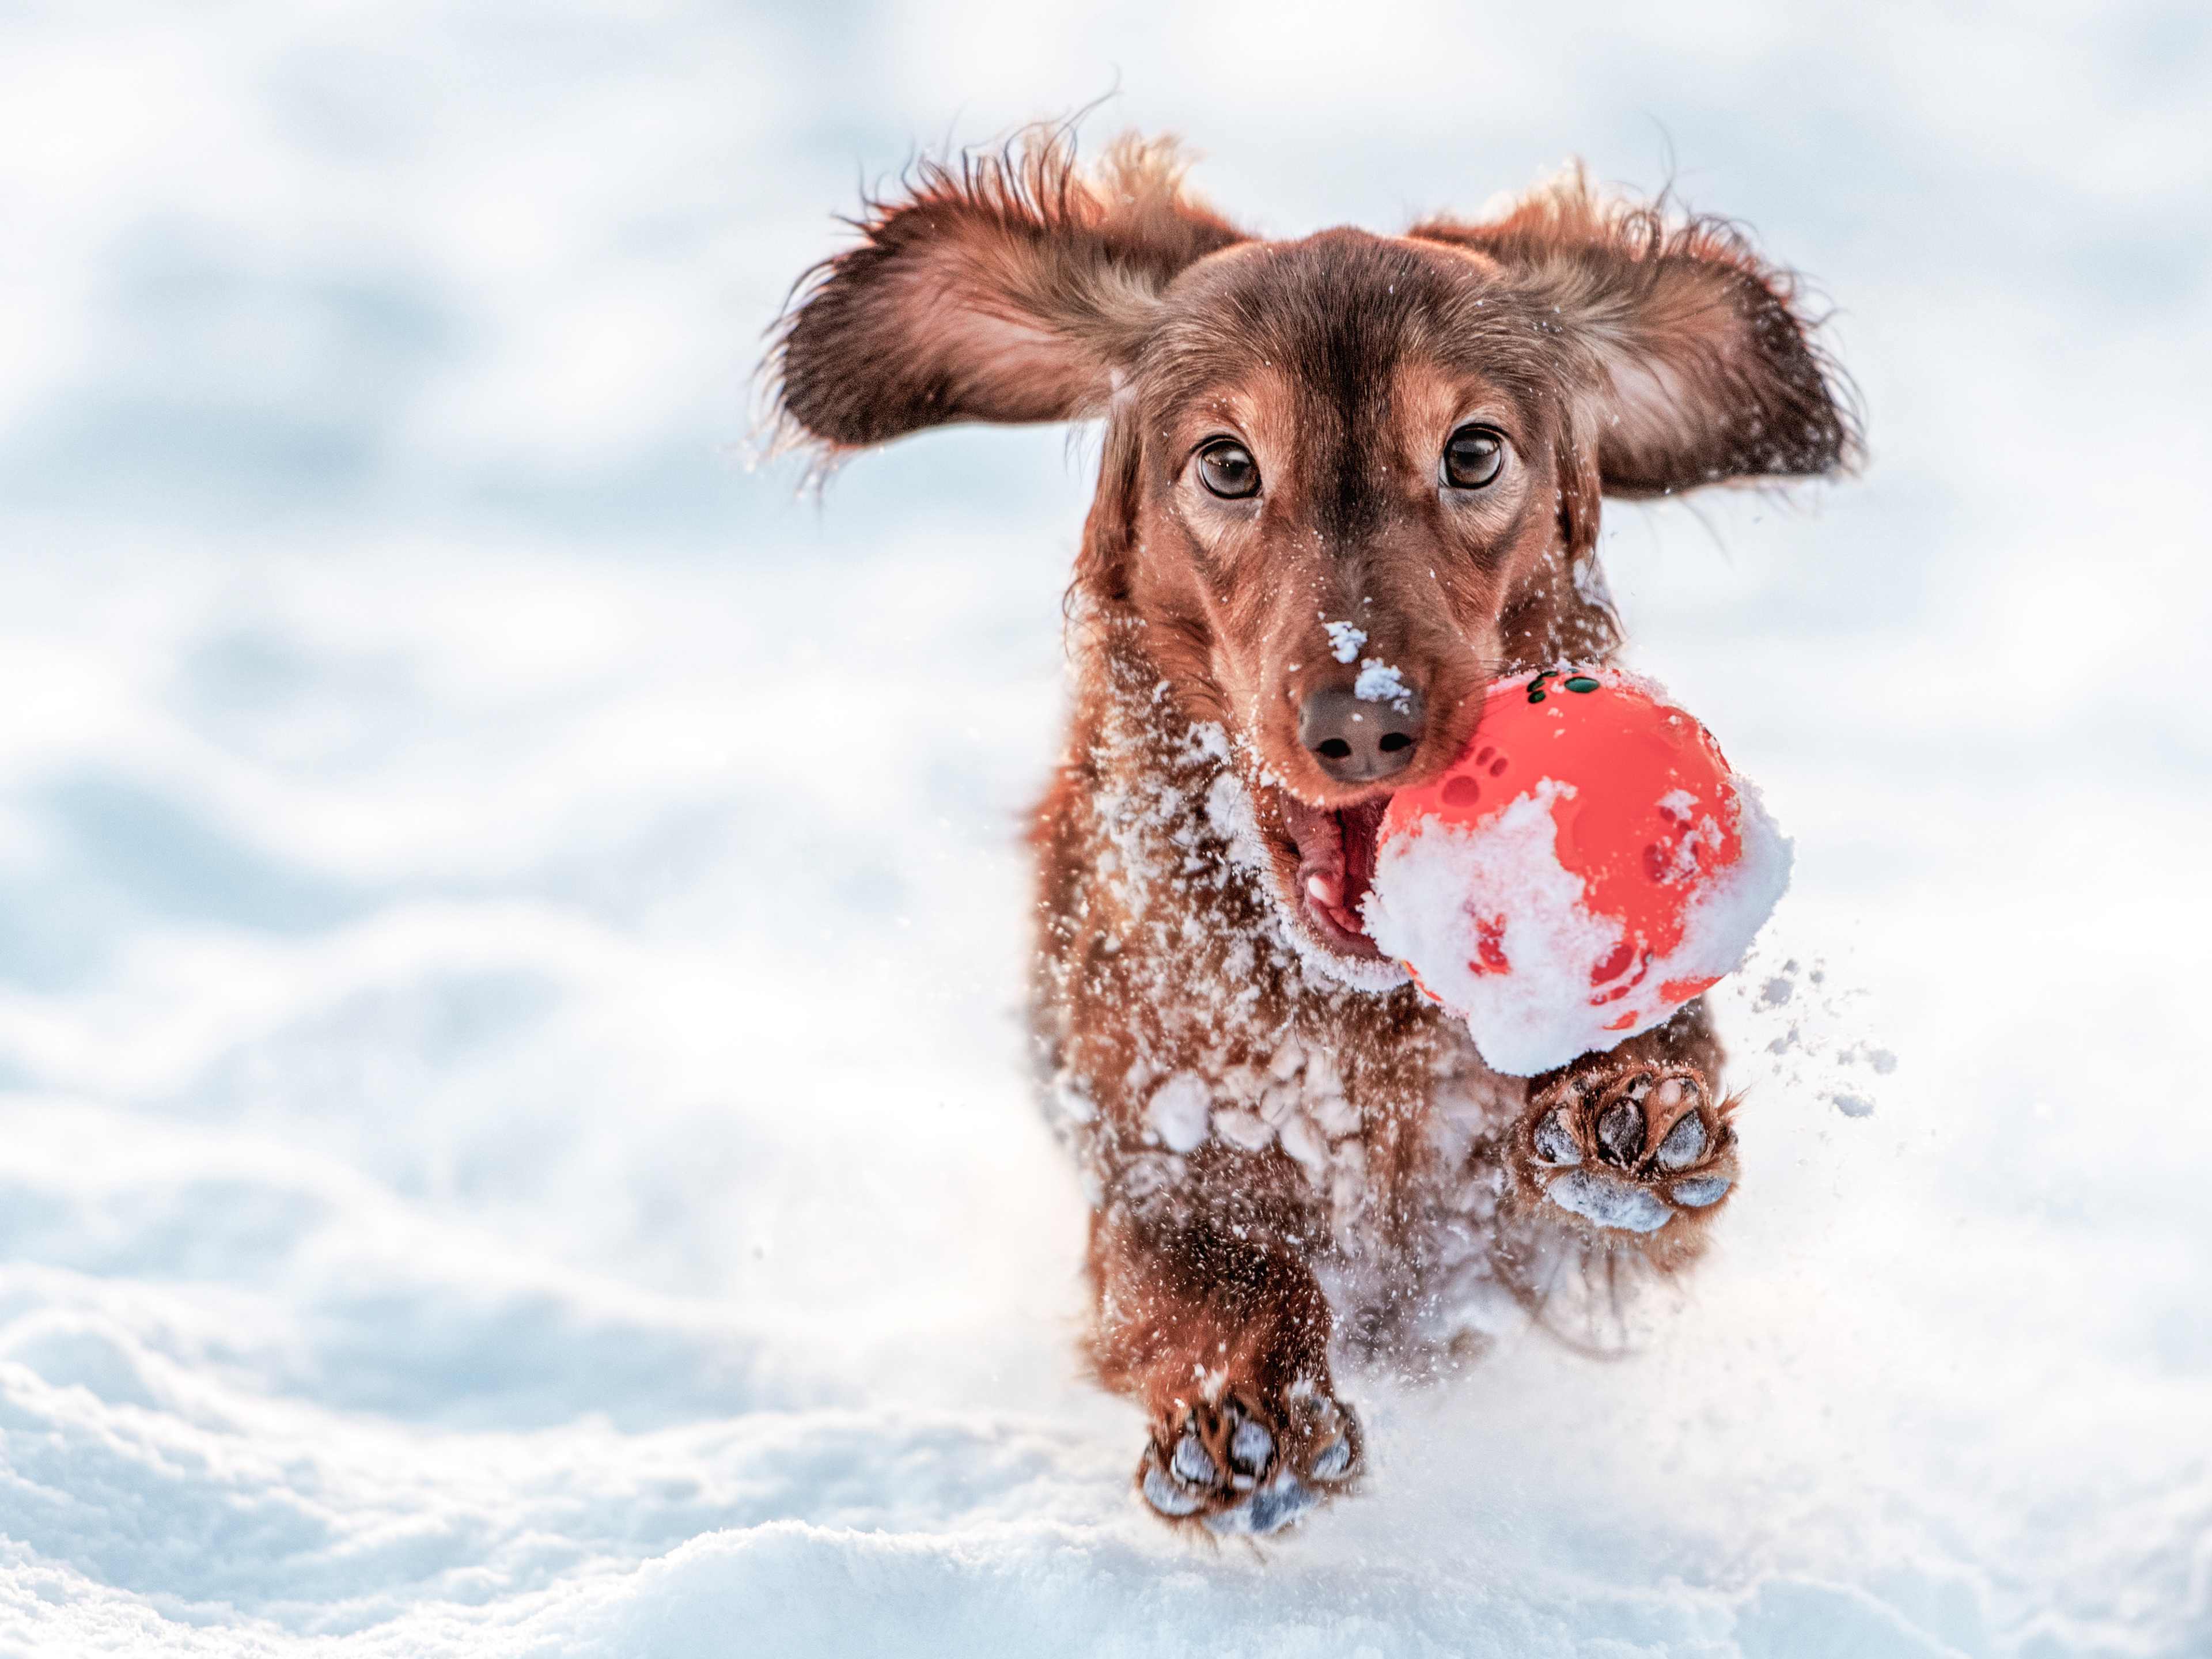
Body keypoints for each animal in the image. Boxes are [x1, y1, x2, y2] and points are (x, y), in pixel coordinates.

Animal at [774, 137, 1849, 1539]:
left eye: (1474, 451)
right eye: (1229, 464)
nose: (1365, 723)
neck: (1355, 1028)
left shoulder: (1557, 1241)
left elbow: (1631, 1165)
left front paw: (1625, 1105)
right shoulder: (1145, 1149)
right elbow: (1198, 1265)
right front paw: (1245, 1410)